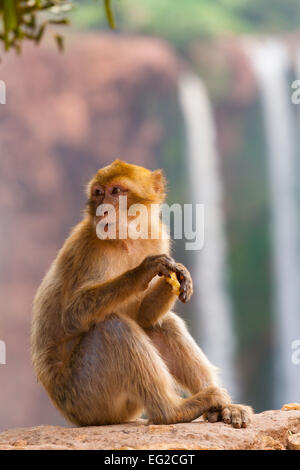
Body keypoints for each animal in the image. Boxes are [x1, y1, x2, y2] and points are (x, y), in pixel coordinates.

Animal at [30, 160, 252, 428]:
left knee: (160, 324)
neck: (126, 237)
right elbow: (72, 316)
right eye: (98, 193)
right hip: (86, 398)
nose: (102, 209)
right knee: (113, 327)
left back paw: (224, 408)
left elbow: (143, 316)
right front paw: (145, 270)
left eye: (116, 191)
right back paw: (173, 411)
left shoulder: (158, 236)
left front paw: (177, 276)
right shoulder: (88, 248)